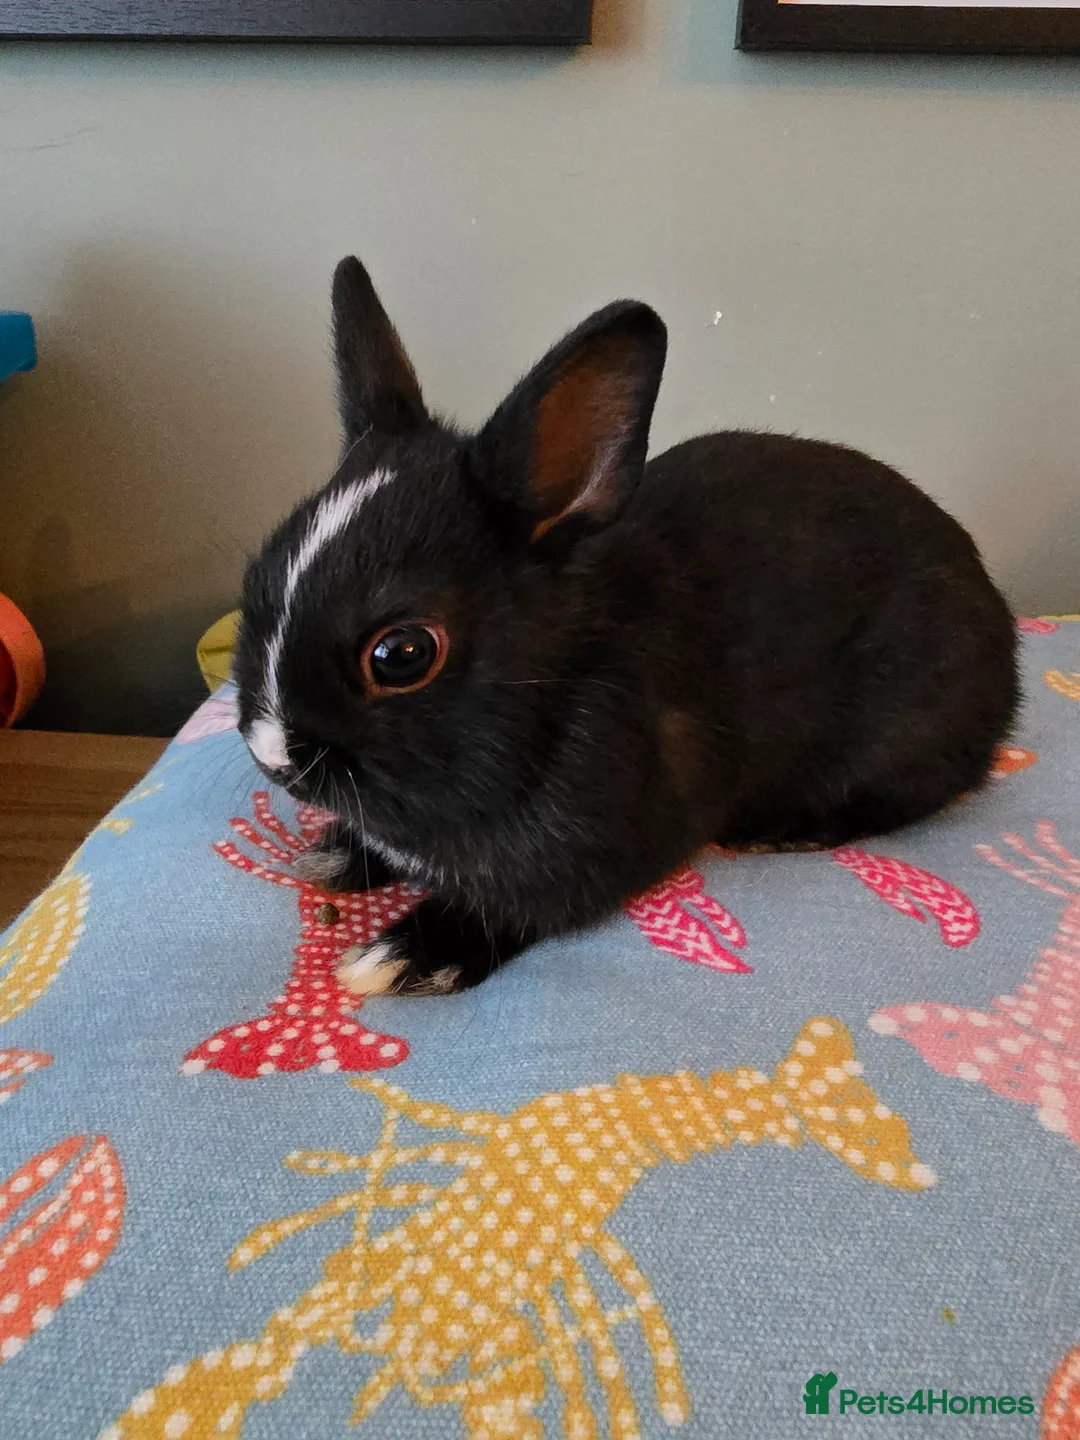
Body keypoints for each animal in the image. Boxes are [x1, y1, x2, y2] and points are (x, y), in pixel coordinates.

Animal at [232, 255, 1019, 997]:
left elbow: (513, 909)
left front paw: (400, 956)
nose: (272, 755)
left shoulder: (586, 856)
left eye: (401, 654)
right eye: (256, 576)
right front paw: (334, 854)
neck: (545, 697)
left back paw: (785, 831)